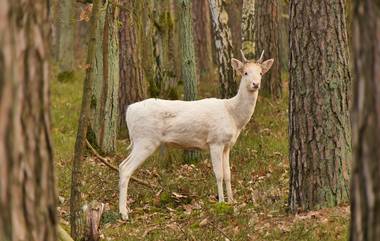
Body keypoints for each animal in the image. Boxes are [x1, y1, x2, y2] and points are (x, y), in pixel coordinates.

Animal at [119, 50, 274, 220]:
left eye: (260, 73)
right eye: (245, 72)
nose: (255, 84)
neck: (233, 115)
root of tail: (129, 111)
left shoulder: (227, 145)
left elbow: (228, 174)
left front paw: (232, 201)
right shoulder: (215, 141)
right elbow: (218, 174)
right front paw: (221, 203)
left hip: (140, 141)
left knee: (121, 165)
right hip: (145, 139)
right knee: (125, 168)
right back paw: (124, 213)